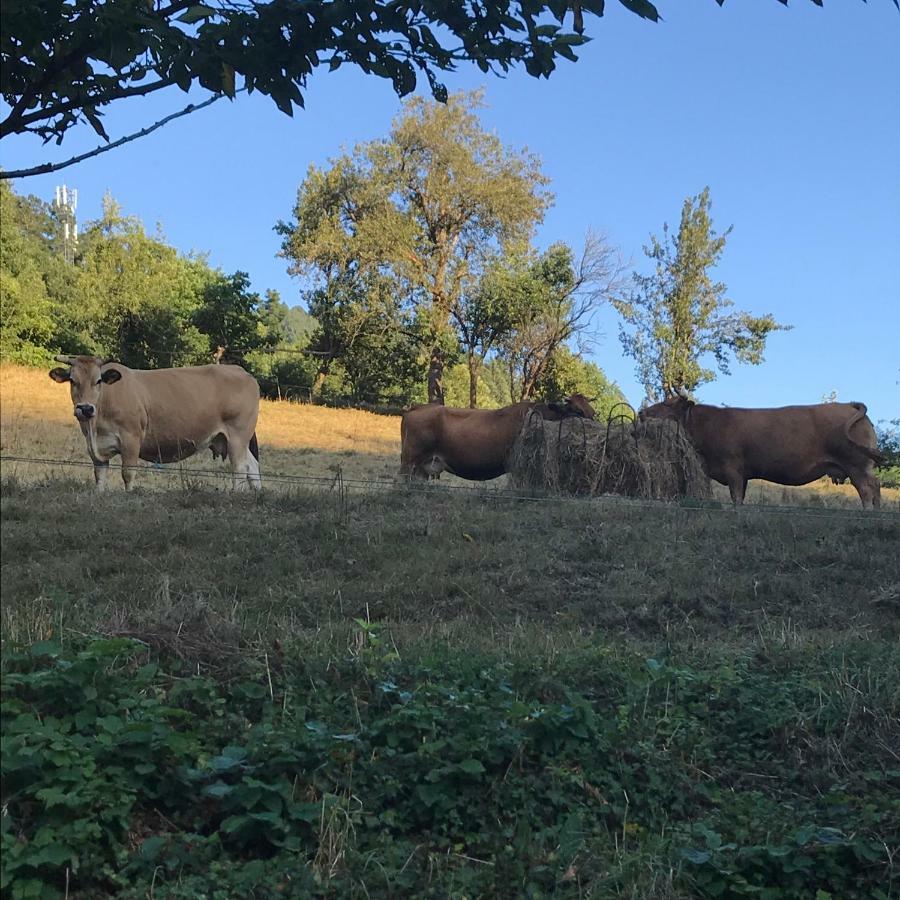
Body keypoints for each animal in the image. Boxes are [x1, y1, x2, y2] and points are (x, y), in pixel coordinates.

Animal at [49, 354, 260, 492]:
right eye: (72, 380)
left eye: (98, 380)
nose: (85, 408)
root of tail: (241, 371)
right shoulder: (96, 448)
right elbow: (100, 477)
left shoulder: (131, 439)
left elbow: (128, 473)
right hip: (231, 439)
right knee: (253, 467)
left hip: (238, 436)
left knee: (240, 469)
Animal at [640, 392, 884, 506]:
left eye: (667, 404)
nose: (642, 412)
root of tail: (848, 404)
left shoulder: (733, 468)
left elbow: (737, 497)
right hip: (862, 466)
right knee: (875, 486)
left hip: (856, 465)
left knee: (867, 489)